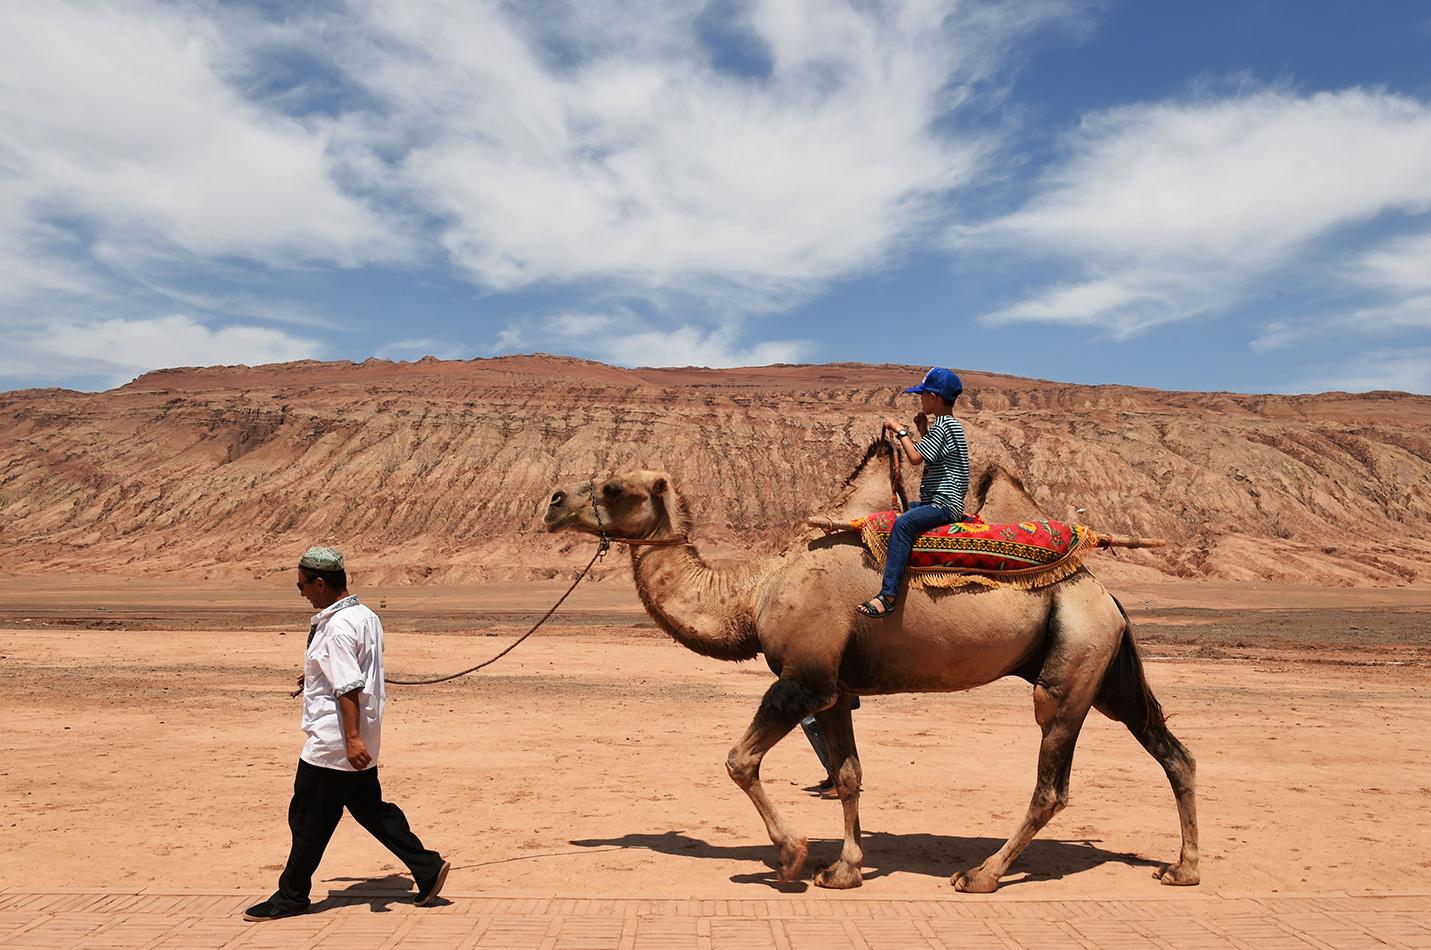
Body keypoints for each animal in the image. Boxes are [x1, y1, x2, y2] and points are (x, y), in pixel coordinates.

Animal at [540, 440, 1202, 892]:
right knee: (1171, 750)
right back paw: (1183, 868)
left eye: (616, 488)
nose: (552, 500)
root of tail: (1105, 593)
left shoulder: (802, 680)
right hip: (1106, 665)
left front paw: (792, 858)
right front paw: (844, 869)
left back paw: (980, 875)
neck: (752, 594)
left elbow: (739, 761)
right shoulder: (834, 689)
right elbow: (850, 775)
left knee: (1051, 782)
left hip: (1072, 666)